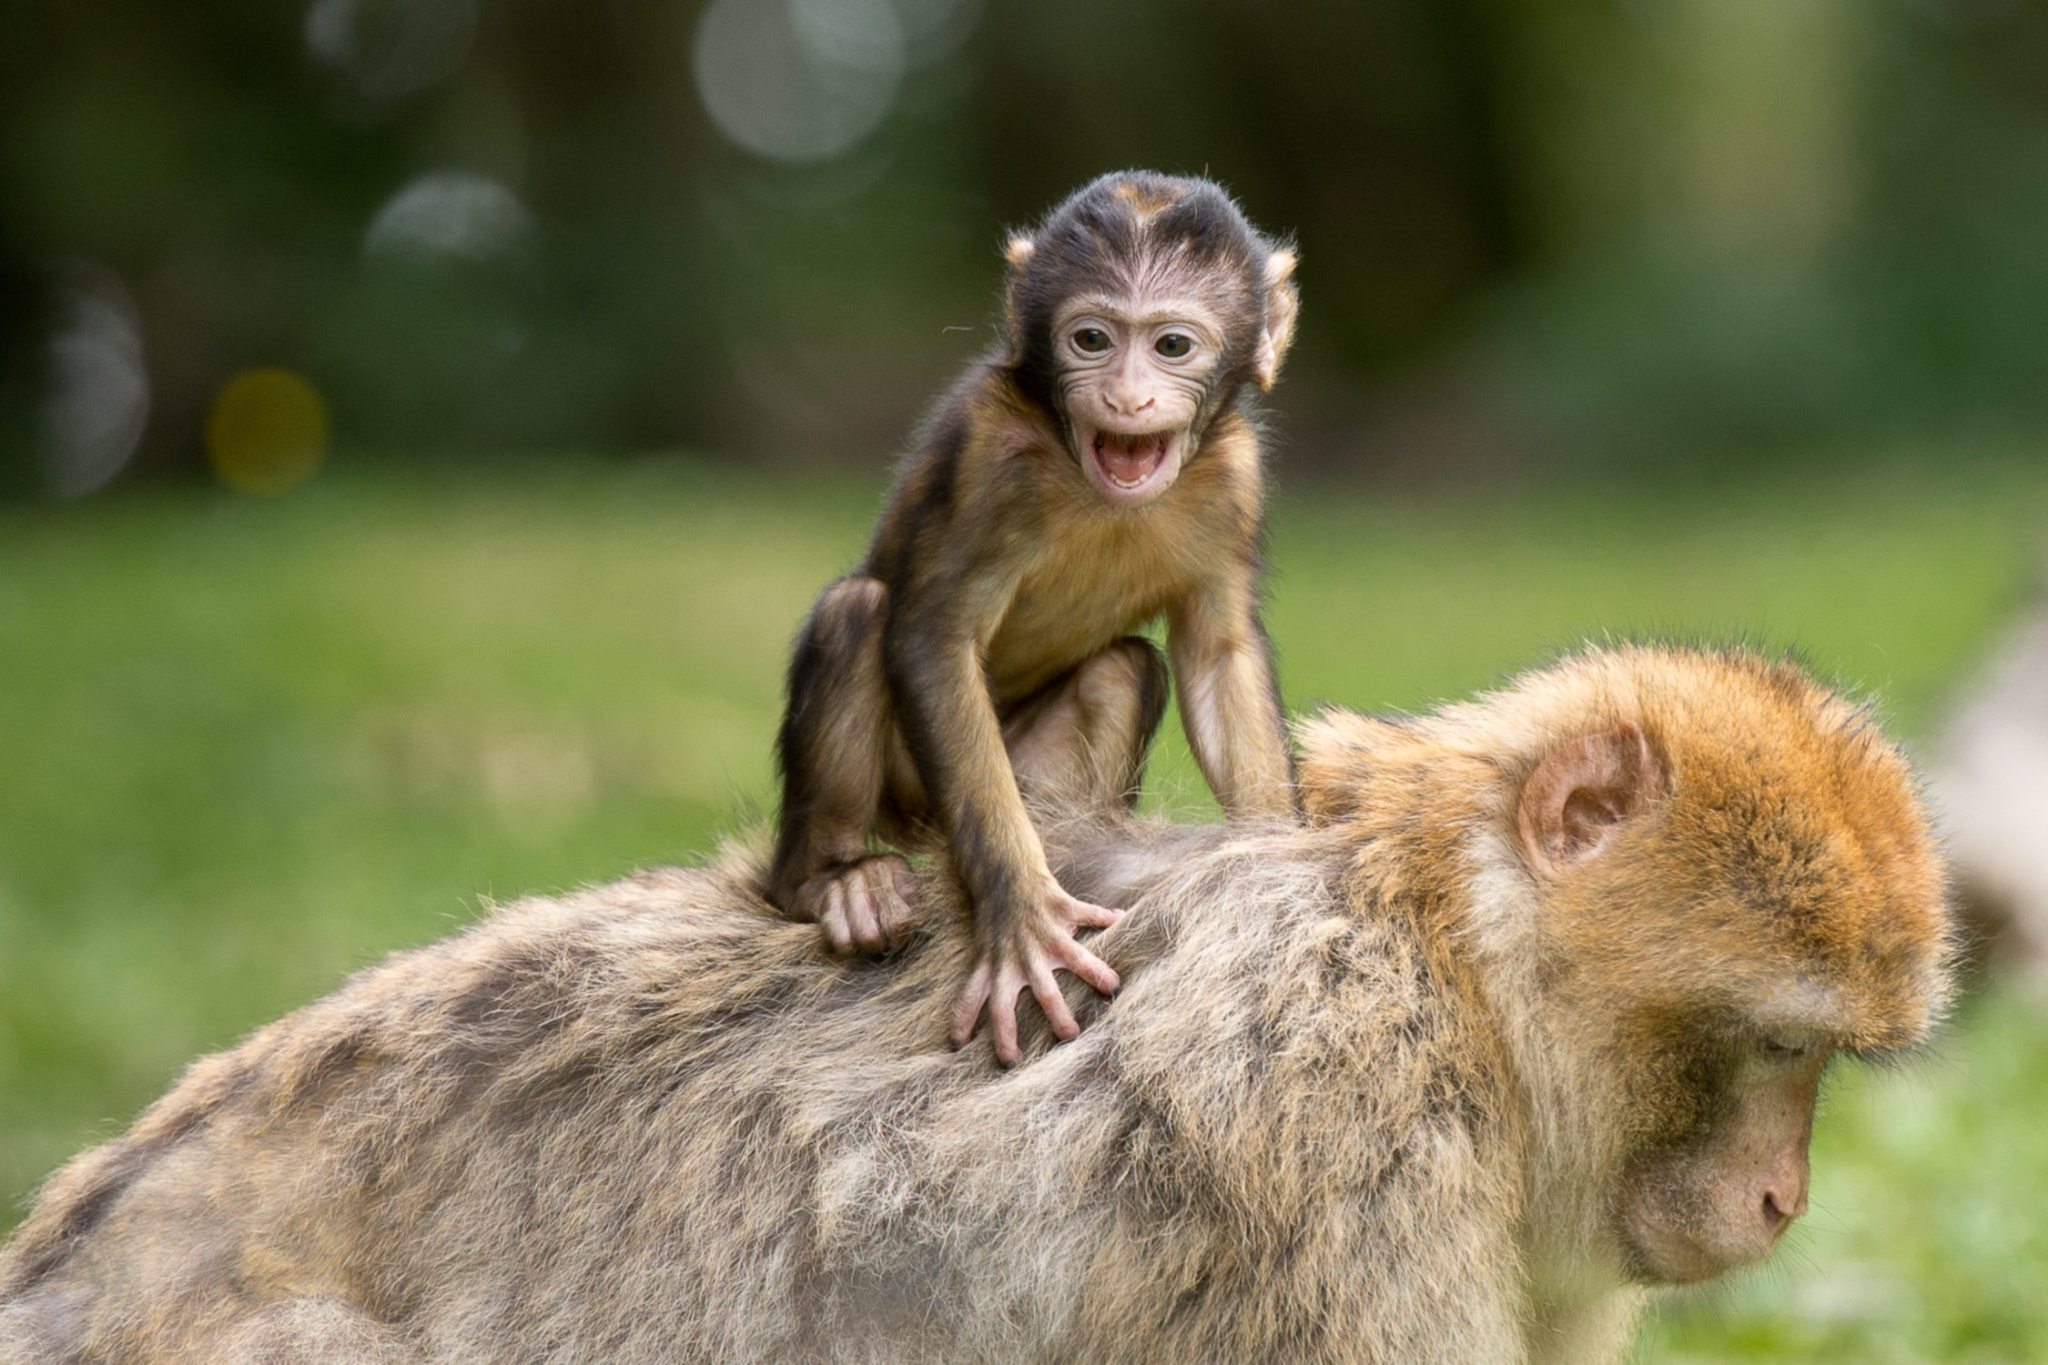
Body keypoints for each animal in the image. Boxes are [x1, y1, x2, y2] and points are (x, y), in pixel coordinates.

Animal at [768, 170, 1301, 1063]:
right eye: (1091, 339)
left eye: (1171, 347)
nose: (1125, 395)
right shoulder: (990, 454)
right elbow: (933, 640)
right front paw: (1020, 917)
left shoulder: (1236, 475)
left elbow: (1217, 653)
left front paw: (1276, 871)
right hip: (909, 800)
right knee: (857, 613)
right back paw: (832, 881)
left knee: (1125, 669)